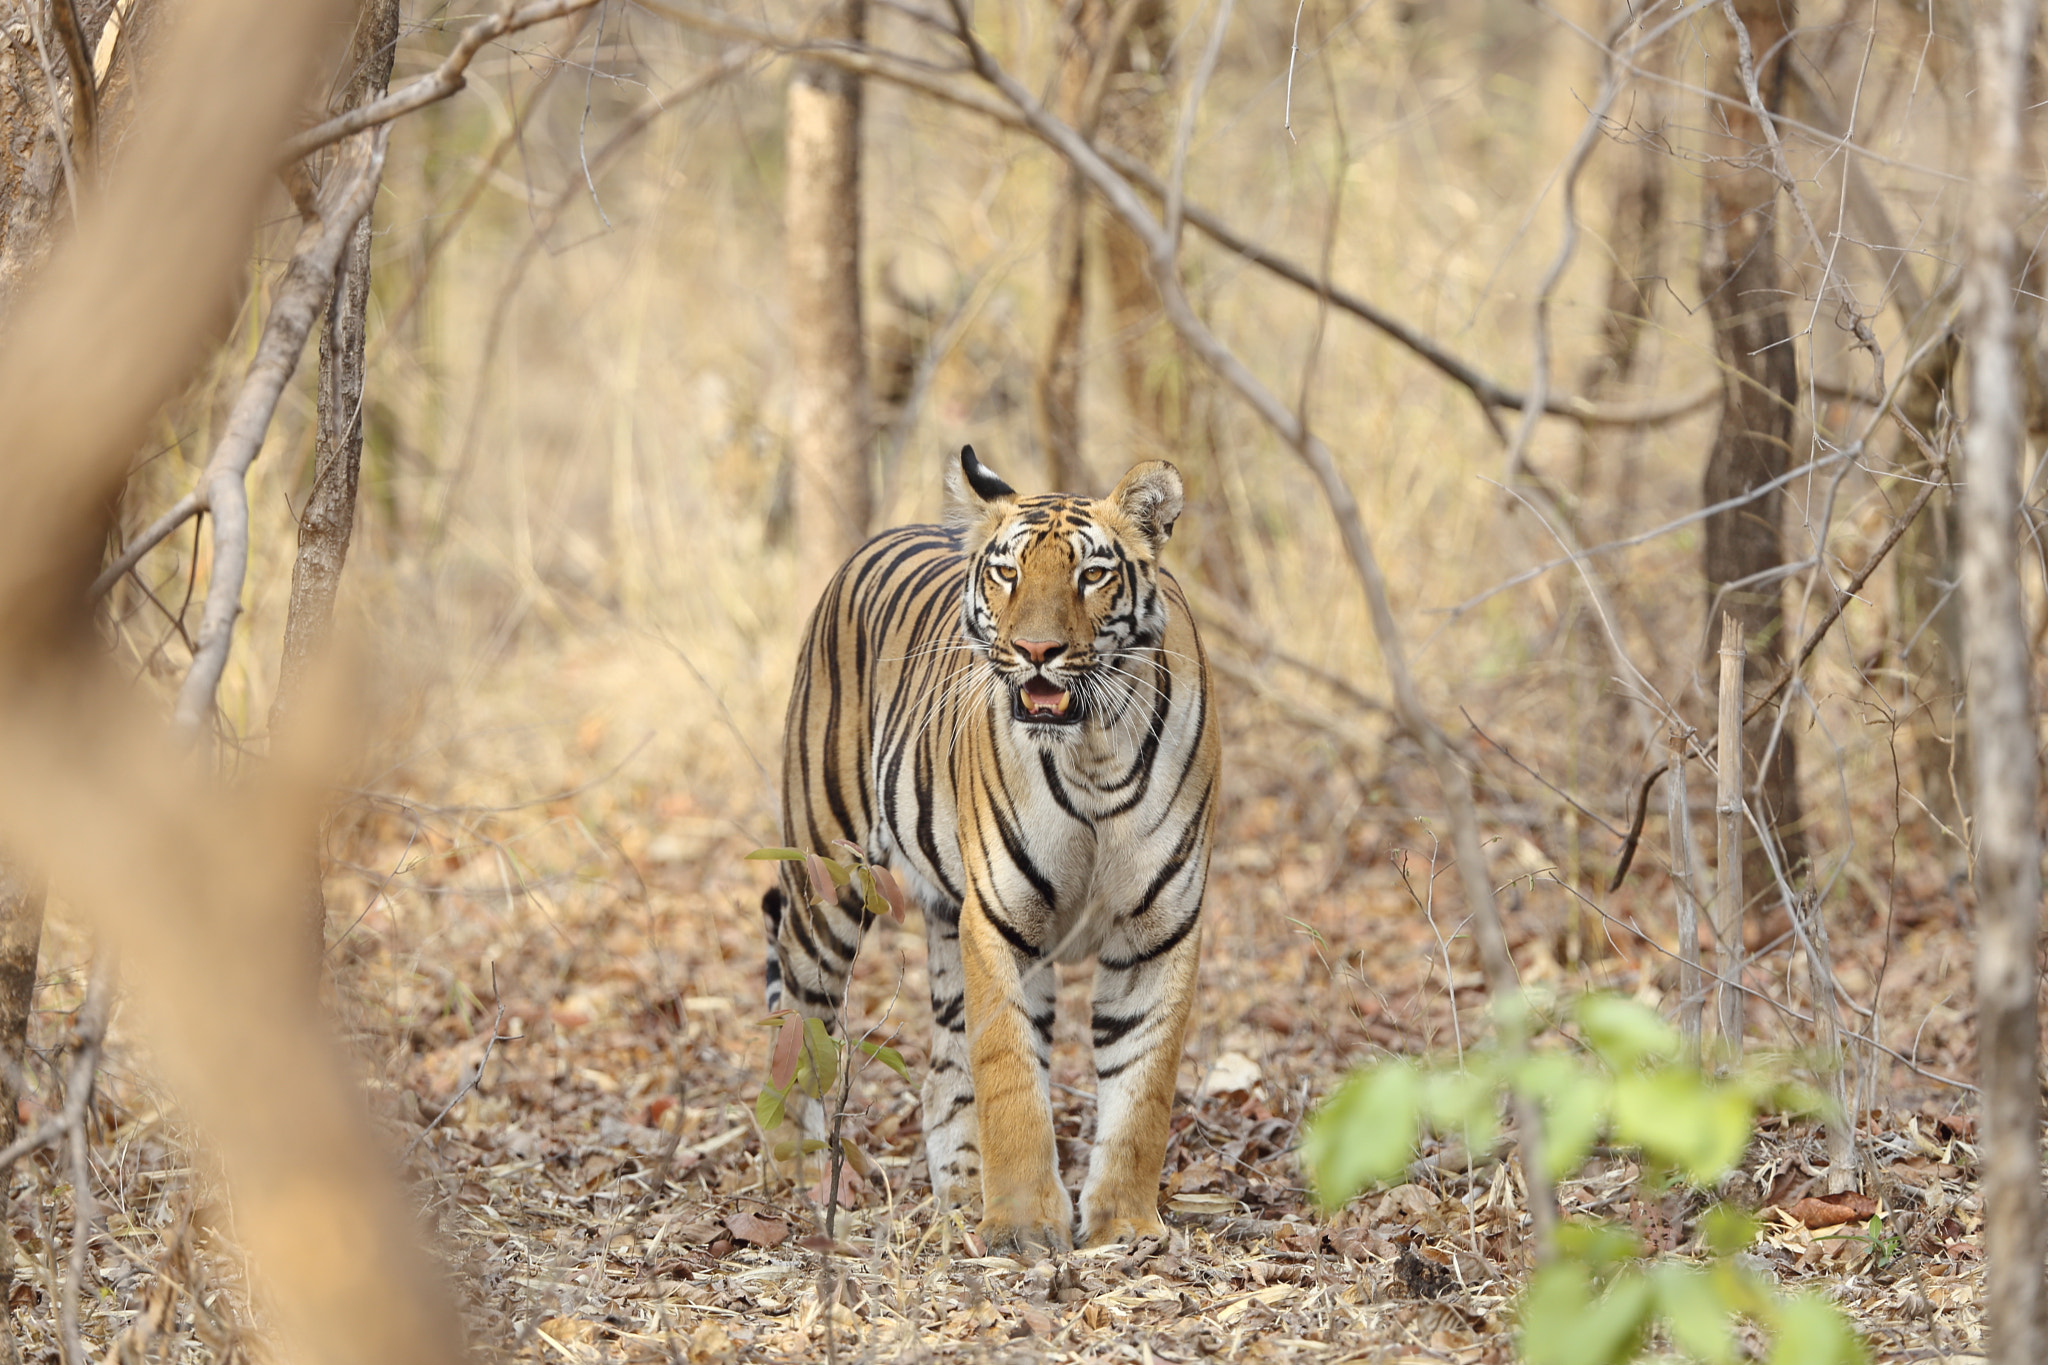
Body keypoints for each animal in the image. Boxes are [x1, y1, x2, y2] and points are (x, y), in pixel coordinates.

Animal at [765, 448, 1212, 1260]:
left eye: (1091, 574)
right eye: (1008, 573)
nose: (1037, 652)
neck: (1093, 749)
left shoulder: (1158, 929)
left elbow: (1142, 1088)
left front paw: (1126, 1225)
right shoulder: (1002, 921)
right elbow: (1011, 1078)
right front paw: (1023, 1226)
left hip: (942, 914)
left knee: (942, 1078)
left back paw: (958, 1196)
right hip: (827, 881)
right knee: (798, 1025)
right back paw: (794, 1172)